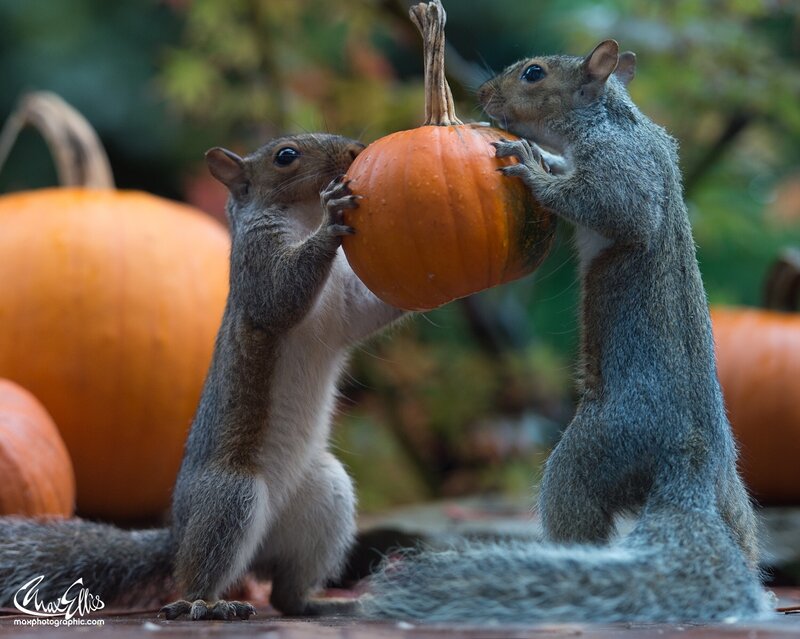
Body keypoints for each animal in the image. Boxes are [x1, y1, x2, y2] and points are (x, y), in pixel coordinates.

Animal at [0, 133, 404, 620]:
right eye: (286, 156)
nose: (356, 151)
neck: (300, 217)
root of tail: (178, 536)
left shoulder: (345, 309)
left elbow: (372, 308)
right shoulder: (255, 265)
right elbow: (281, 295)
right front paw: (330, 221)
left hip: (326, 495)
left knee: (284, 593)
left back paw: (322, 603)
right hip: (231, 497)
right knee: (198, 575)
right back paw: (206, 604)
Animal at [362, 40, 773, 623]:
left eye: (534, 74)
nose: (483, 94)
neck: (613, 118)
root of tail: (689, 462)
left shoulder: (622, 165)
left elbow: (615, 208)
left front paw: (534, 172)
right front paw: (543, 159)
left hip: (594, 450)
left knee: (573, 506)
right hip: (730, 494)